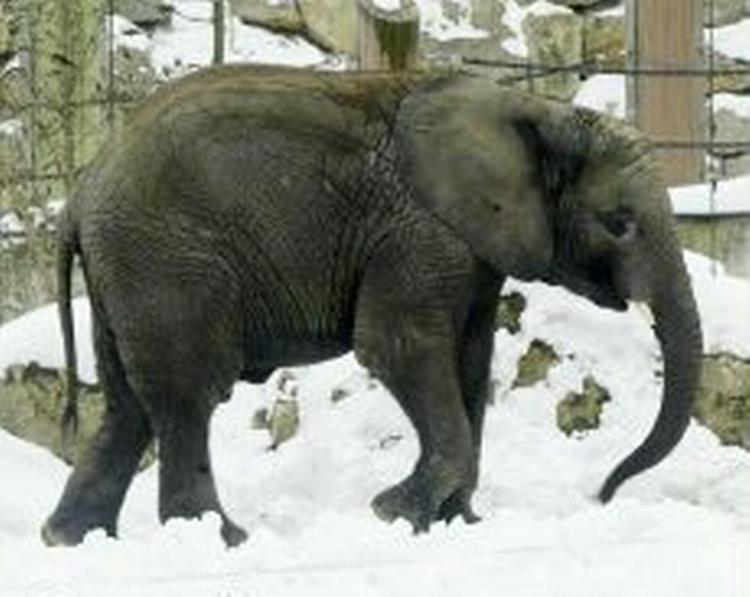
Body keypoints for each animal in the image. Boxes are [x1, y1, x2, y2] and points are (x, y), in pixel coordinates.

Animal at [43, 65, 702, 547]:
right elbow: (399, 347)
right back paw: (220, 539)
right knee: (187, 395)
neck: (540, 108)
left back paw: (73, 539)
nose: (602, 494)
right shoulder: (419, 232)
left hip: (128, 272)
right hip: (167, 264)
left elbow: (470, 362)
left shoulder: (472, 247)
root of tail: (79, 197)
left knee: (129, 404)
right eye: (619, 223)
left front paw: (457, 524)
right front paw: (393, 514)